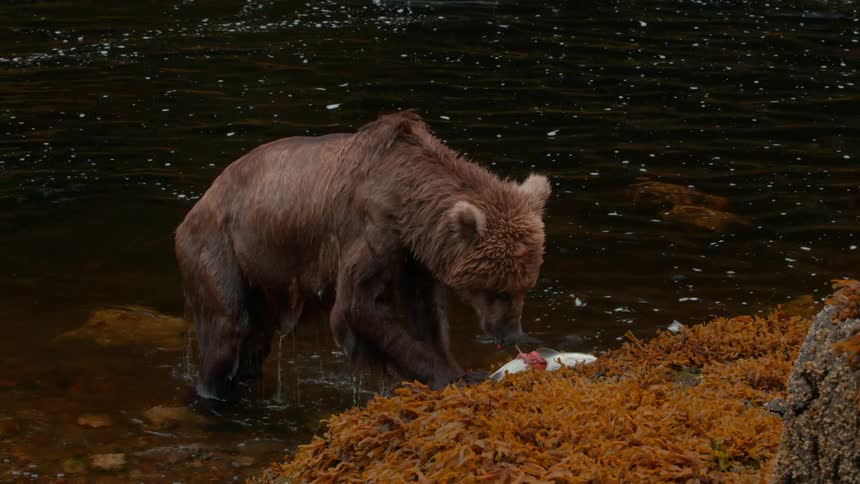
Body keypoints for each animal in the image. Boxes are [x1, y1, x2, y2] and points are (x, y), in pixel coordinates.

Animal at [175, 111, 551, 400]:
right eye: (497, 289)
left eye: (525, 286)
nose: (512, 334)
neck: (408, 200)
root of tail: (196, 207)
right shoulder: (372, 228)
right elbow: (359, 304)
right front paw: (453, 376)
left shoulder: (414, 253)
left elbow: (425, 310)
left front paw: (455, 365)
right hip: (219, 249)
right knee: (227, 329)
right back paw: (213, 393)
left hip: (263, 278)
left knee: (255, 340)